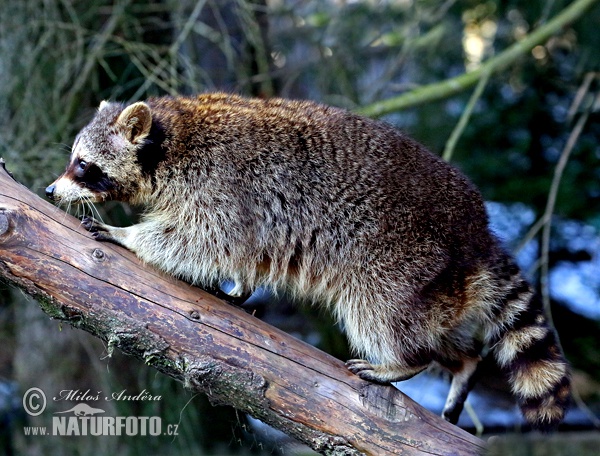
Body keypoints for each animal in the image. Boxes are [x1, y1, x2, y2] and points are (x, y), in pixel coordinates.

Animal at [44, 93, 568, 432]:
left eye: (83, 165)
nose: (49, 190)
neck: (171, 134)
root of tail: (476, 232)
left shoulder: (221, 184)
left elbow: (204, 239)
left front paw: (129, 237)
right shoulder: (245, 209)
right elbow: (240, 252)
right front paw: (238, 288)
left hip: (401, 258)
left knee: (379, 312)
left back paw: (403, 361)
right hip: (437, 281)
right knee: (443, 332)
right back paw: (463, 362)